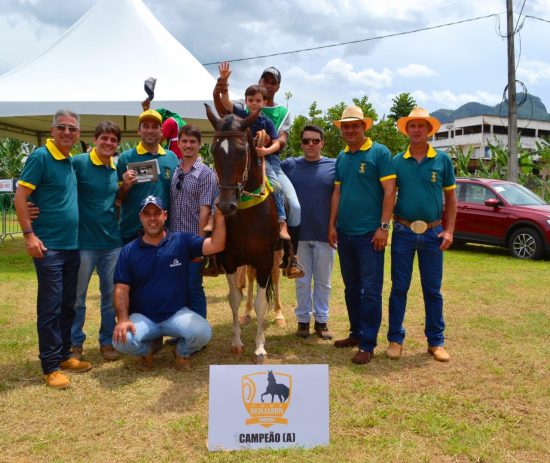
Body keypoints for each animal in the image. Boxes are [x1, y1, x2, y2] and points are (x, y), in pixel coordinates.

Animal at [206, 103, 280, 364]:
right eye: (214, 151)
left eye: (241, 152)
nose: (226, 206)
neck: (248, 215)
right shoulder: (229, 259)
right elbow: (235, 298)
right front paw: (237, 342)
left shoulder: (265, 259)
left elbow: (261, 303)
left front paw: (259, 347)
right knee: (247, 281)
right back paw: (246, 315)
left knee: (275, 281)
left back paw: (279, 316)